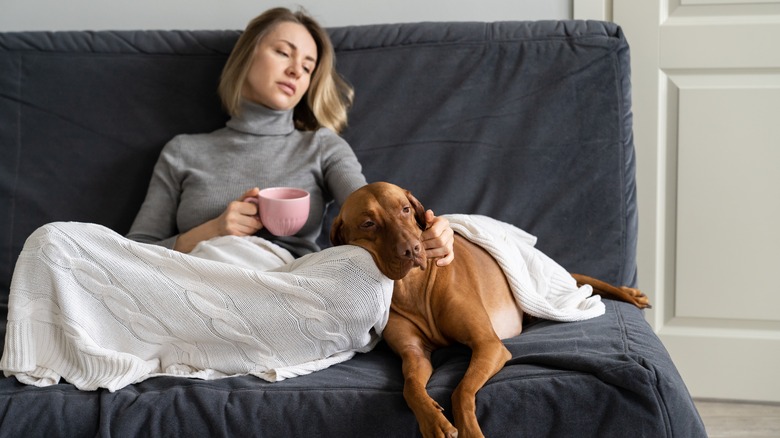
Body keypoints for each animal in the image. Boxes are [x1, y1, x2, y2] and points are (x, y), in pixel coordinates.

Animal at [330, 181, 652, 438]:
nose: (413, 250)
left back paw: (631, 295)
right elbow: (410, 387)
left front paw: (469, 430)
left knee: (585, 281)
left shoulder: (488, 344)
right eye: (368, 224)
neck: (414, 287)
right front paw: (434, 420)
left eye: (406, 209)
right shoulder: (415, 355)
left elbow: (461, 390)